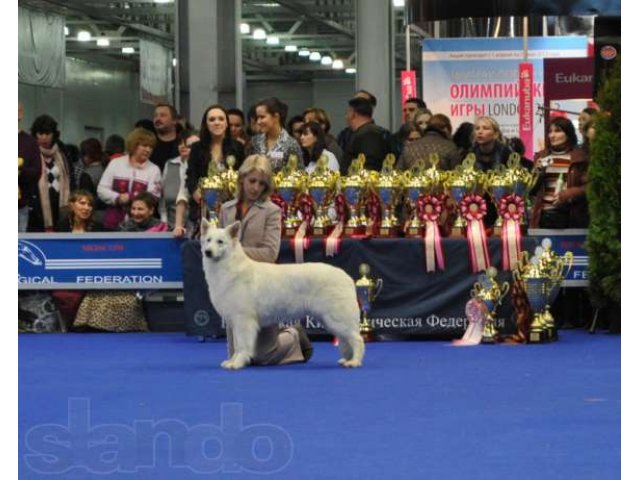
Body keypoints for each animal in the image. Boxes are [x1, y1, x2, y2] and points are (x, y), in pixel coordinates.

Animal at [200, 219, 364, 370]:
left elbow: (242, 345)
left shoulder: (243, 320)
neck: (229, 266)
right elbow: (237, 345)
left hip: (336, 318)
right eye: (208, 240)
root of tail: (347, 277)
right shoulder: (235, 321)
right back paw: (347, 359)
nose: (207, 252)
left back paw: (354, 362)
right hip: (330, 320)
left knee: (357, 339)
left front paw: (238, 363)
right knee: (346, 339)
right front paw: (232, 361)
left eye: (220, 242)